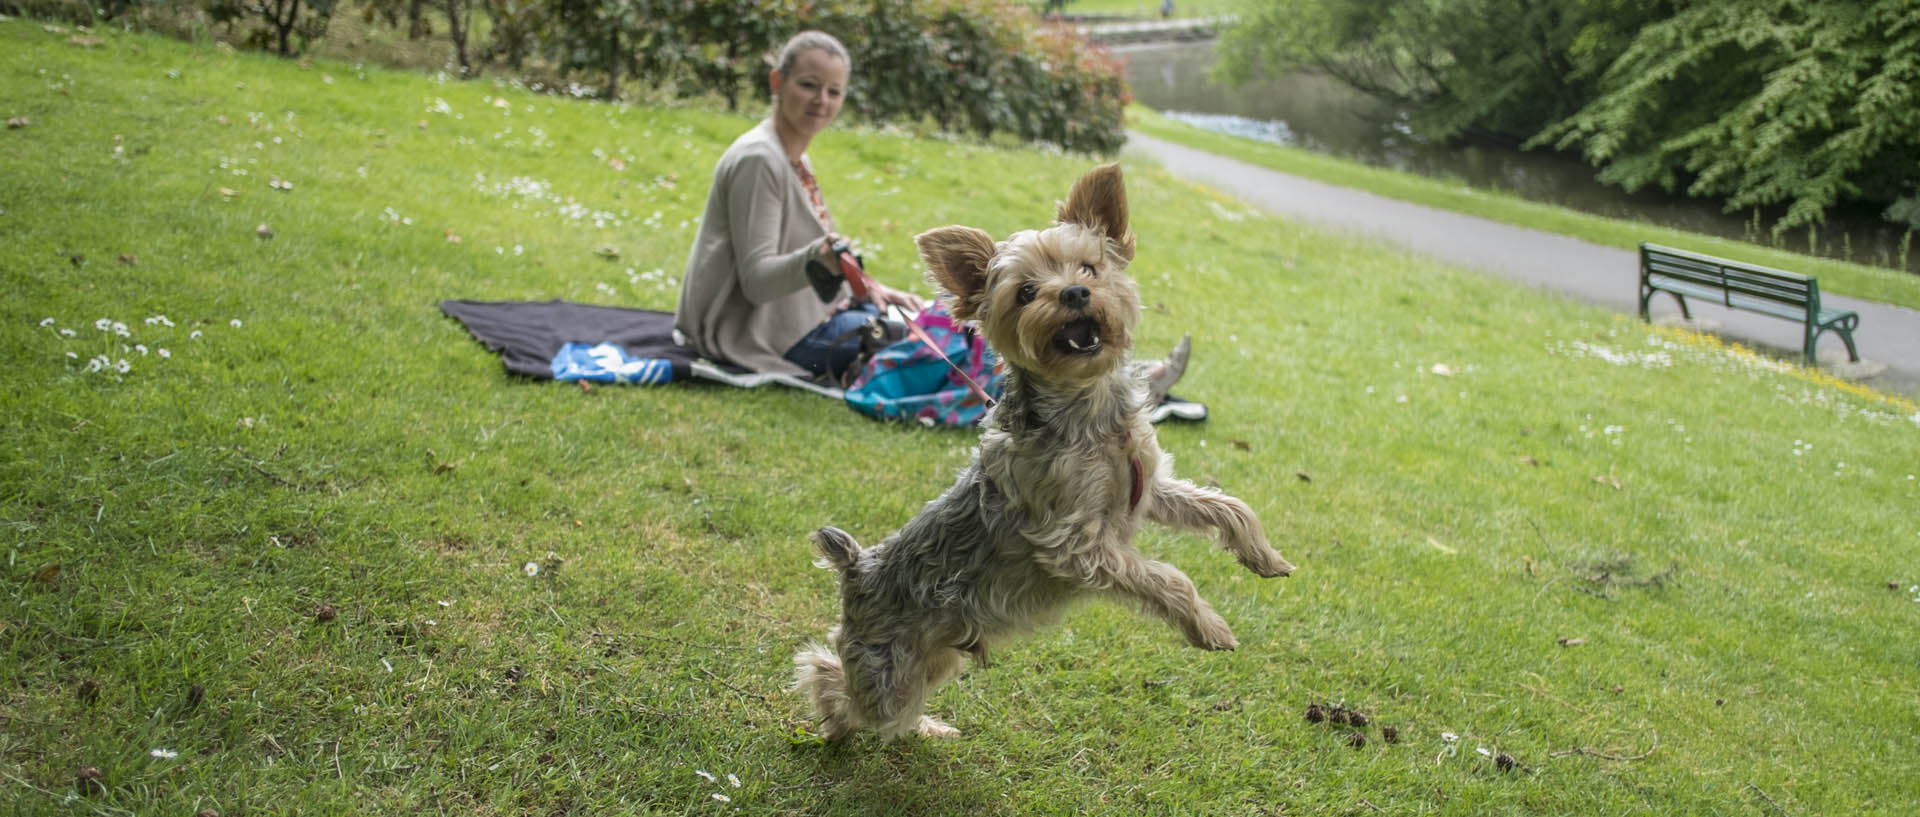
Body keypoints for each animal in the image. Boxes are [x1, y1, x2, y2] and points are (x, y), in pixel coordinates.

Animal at [787, 161, 1297, 740]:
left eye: (1089, 267)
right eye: (1026, 292)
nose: (1073, 293)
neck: (1091, 417)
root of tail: (857, 568)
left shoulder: (1147, 487)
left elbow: (1227, 505)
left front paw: (1264, 556)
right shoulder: (1074, 545)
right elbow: (1169, 577)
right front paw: (1208, 626)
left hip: (937, 655)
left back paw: (925, 728)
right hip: (887, 667)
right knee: (834, 680)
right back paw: (841, 723)